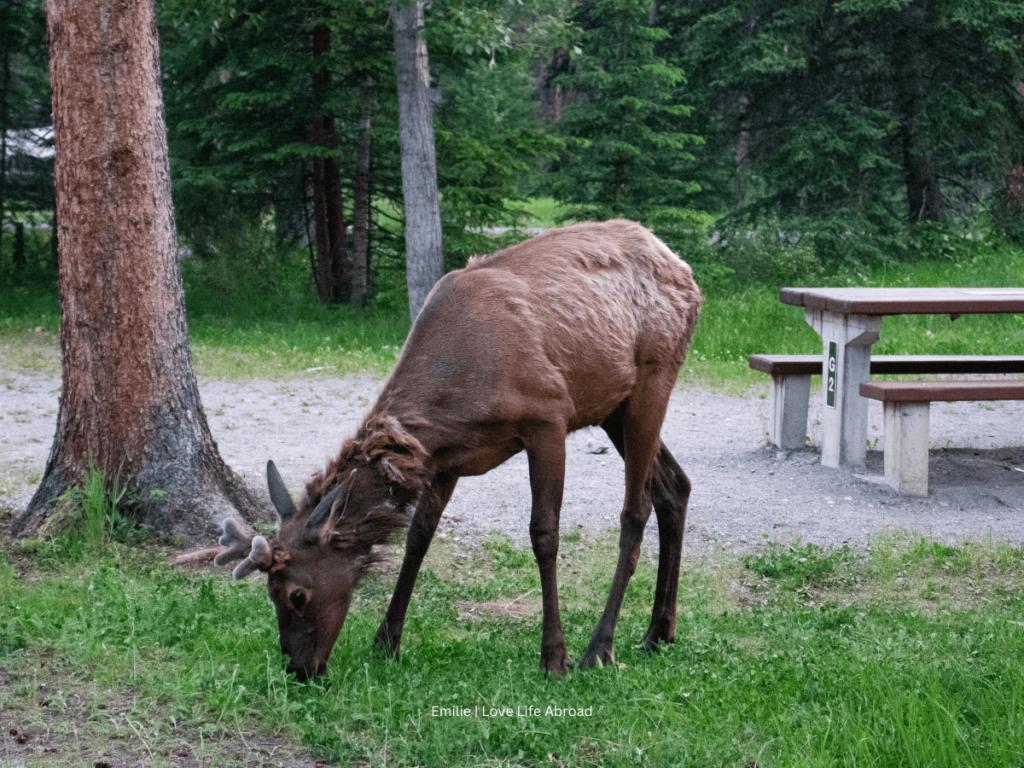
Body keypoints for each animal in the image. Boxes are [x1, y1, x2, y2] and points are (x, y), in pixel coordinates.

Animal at [200, 221, 700, 679]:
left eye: (297, 594)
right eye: (270, 594)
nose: (299, 670)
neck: (458, 392)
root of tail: (687, 273)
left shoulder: (548, 417)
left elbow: (544, 535)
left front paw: (552, 658)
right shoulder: (445, 457)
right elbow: (419, 536)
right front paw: (386, 641)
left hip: (652, 380)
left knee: (635, 509)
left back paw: (599, 647)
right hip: (613, 405)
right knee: (675, 485)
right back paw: (659, 632)